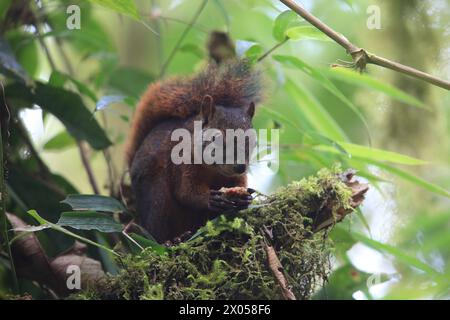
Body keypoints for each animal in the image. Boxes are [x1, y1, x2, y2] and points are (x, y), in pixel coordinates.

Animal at [125, 59, 262, 242]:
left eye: (252, 141)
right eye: (216, 138)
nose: (240, 167)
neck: (214, 170)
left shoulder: (236, 177)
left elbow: (239, 184)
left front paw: (245, 198)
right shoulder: (182, 165)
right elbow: (186, 191)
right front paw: (209, 198)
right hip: (156, 198)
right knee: (157, 228)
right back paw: (171, 241)